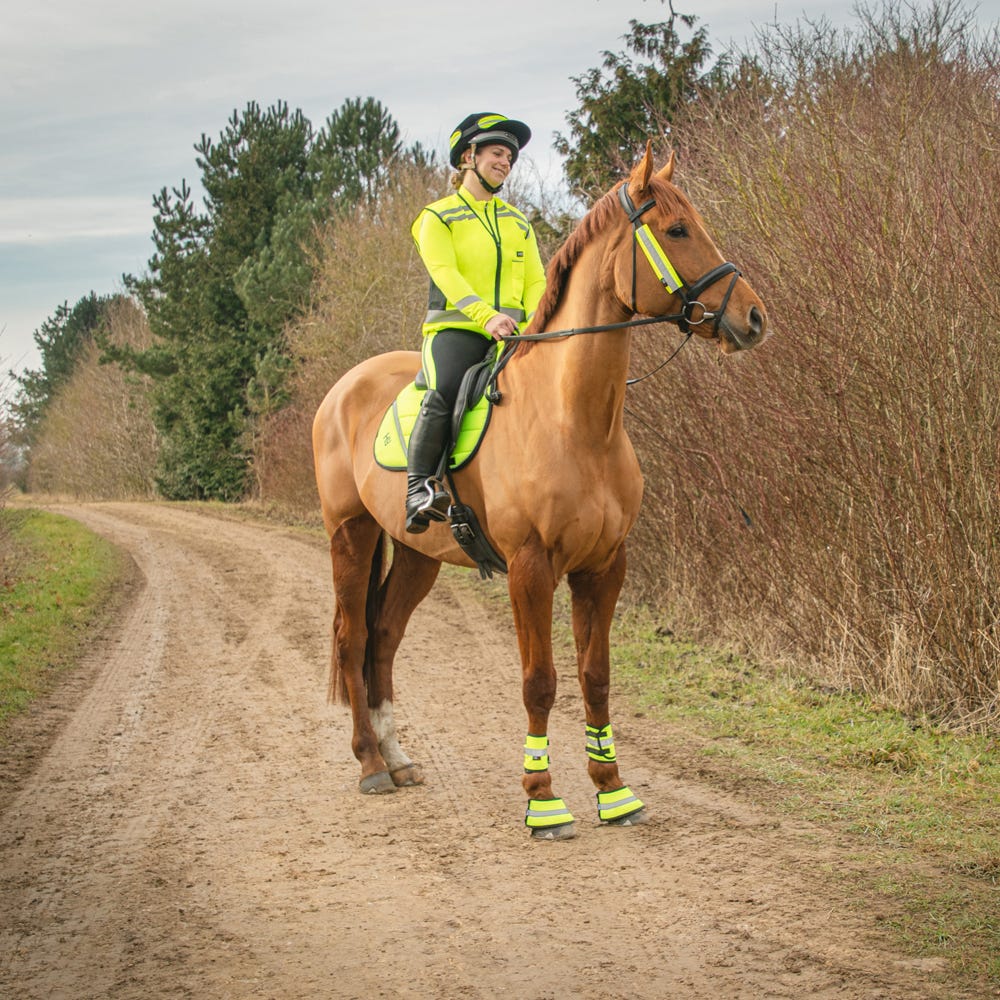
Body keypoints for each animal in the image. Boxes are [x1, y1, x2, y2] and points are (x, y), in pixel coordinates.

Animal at [310, 141, 764, 840]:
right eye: (677, 230)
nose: (753, 317)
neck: (576, 422)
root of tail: (342, 390)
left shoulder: (604, 567)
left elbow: (596, 677)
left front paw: (613, 790)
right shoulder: (531, 568)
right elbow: (540, 681)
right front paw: (543, 800)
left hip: (416, 556)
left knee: (383, 637)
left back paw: (398, 756)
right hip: (350, 535)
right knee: (353, 637)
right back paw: (369, 764)